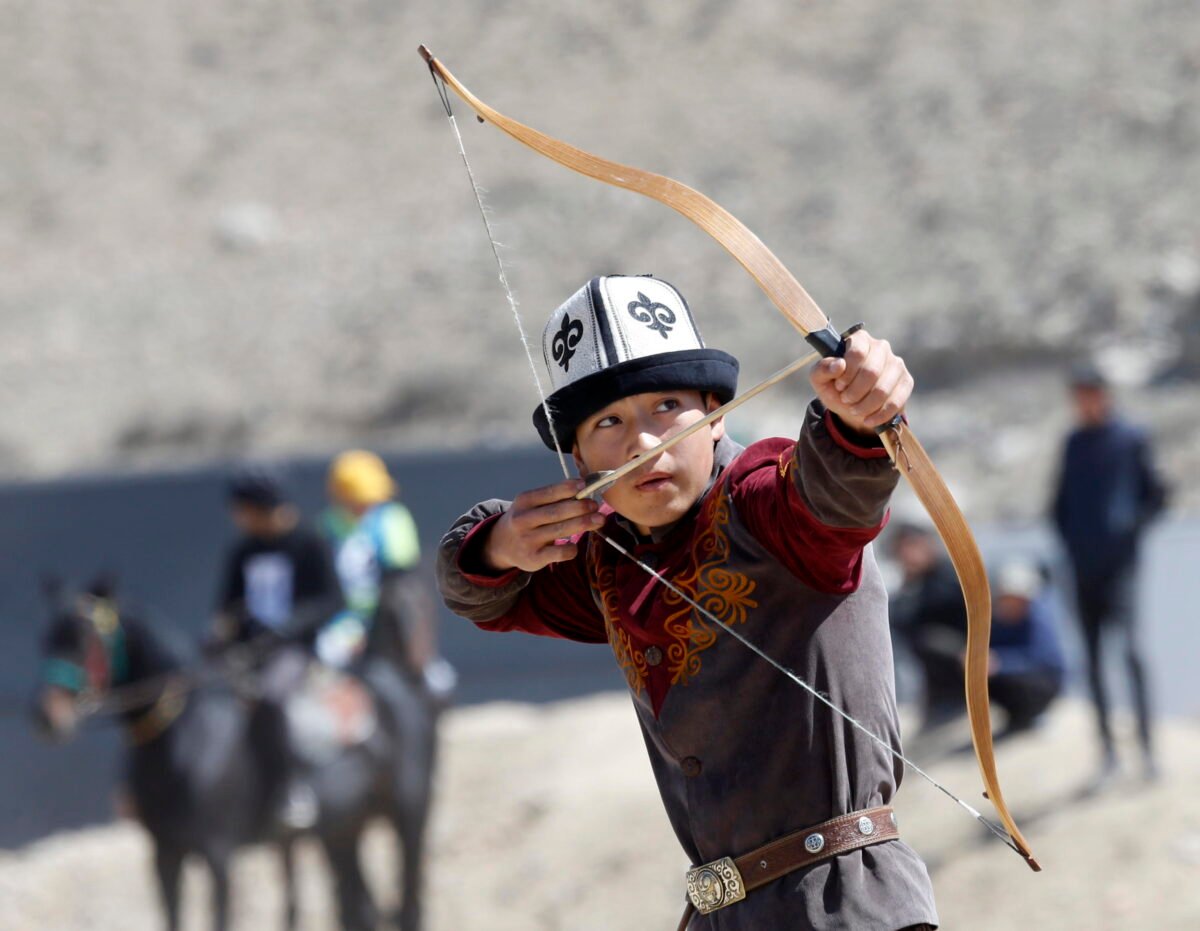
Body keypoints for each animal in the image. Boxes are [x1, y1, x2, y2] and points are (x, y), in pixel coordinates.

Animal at [36, 578, 441, 926]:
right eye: (48, 638)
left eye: (83, 640)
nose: (44, 715)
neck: (188, 740)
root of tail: (392, 676)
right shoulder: (165, 854)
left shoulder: (219, 854)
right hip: (342, 829)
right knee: (359, 909)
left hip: (410, 814)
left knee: (409, 905)